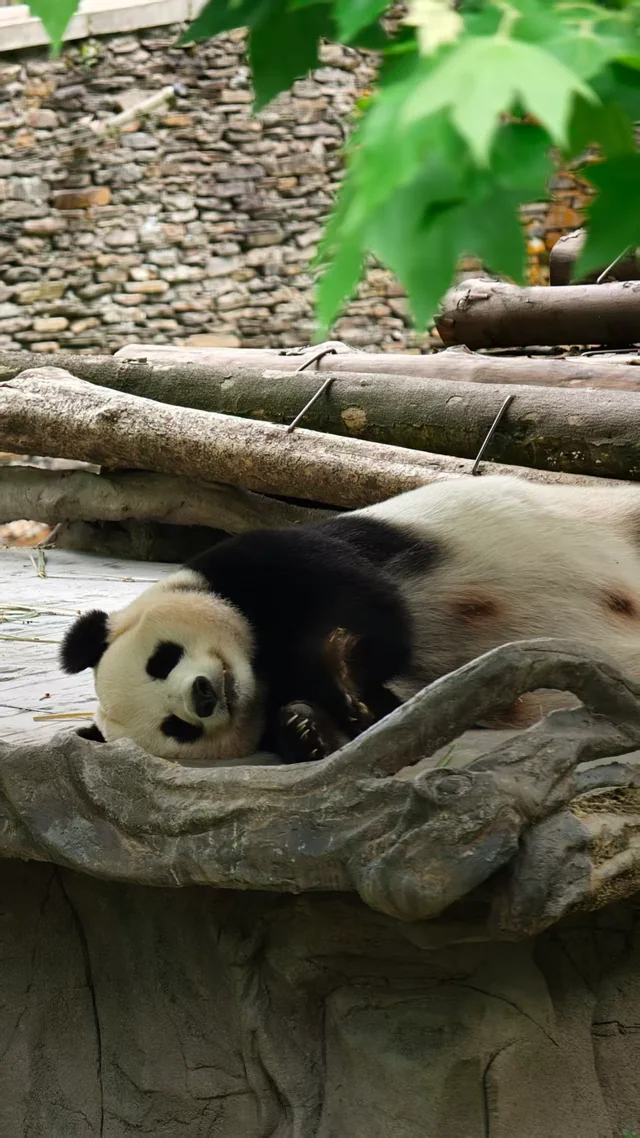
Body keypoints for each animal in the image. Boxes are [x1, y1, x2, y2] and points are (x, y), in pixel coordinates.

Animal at [60, 474, 640, 765]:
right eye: (176, 728)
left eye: (162, 660)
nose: (202, 696)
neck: (259, 667)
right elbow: (393, 720)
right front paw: (307, 728)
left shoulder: (258, 561)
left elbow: (365, 602)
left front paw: (334, 668)